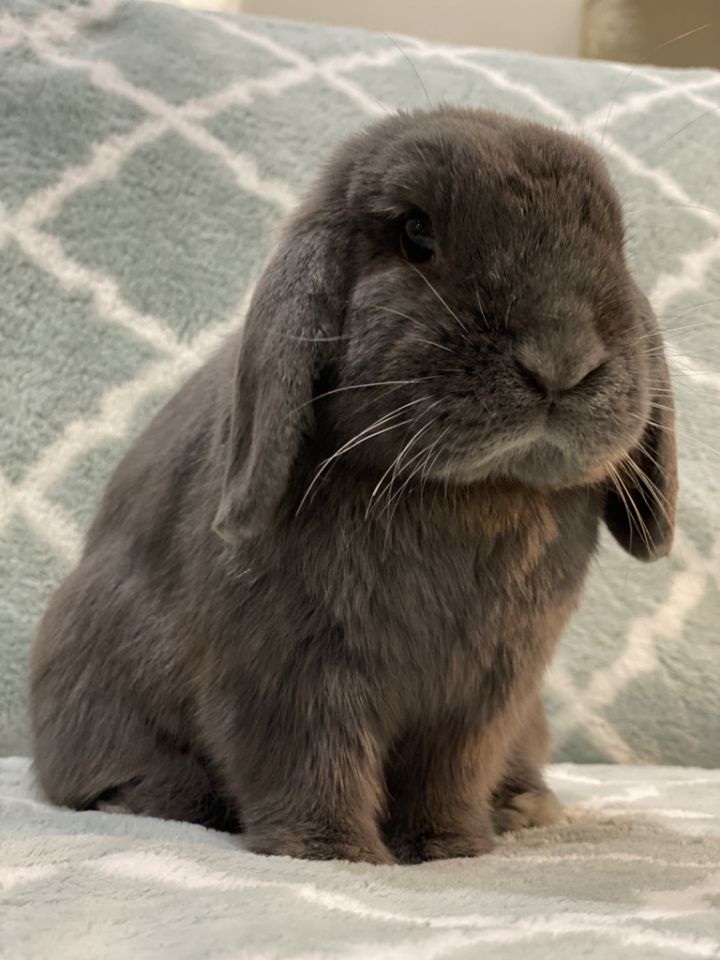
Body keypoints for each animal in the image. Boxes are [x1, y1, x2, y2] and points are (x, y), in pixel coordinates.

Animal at [31, 109, 676, 868]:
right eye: (415, 233)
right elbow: (312, 762)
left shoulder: (488, 692)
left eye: (615, 242)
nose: (562, 358)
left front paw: (451, 849)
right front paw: (333, 855)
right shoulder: (289, 672)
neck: (467, 490)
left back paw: (523, 807)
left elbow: (449, 772)